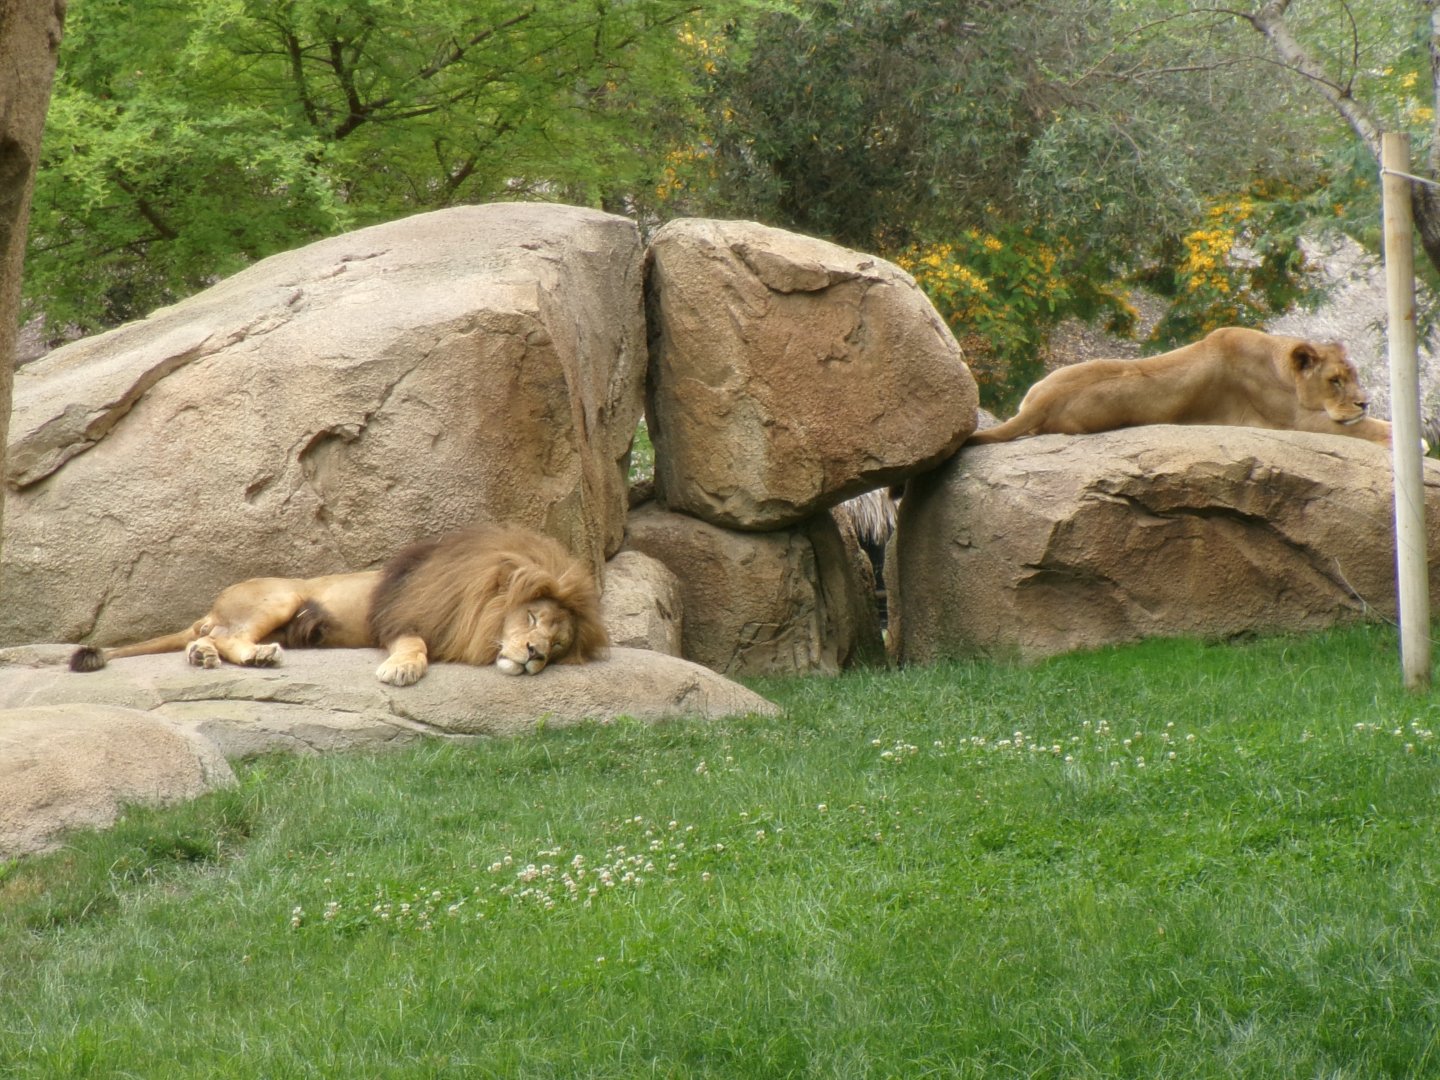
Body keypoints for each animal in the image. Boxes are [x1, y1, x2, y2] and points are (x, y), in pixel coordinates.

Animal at [68, 523, 609, 686]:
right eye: (533, 617)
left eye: (559, 645)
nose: (535, 654)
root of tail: (214, 603)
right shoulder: (402, 618)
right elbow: (415, 646)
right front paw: (402, 670)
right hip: (281, 595)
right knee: (229, 636)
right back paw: (256, 656)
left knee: (209, 640)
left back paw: (206, 656)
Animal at [967, 327, 1392, 446]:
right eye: (1335, 381)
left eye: (1355, 377)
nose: (1365, 402)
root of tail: (1042, 399)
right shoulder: (1290, 422)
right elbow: (1363, 429)